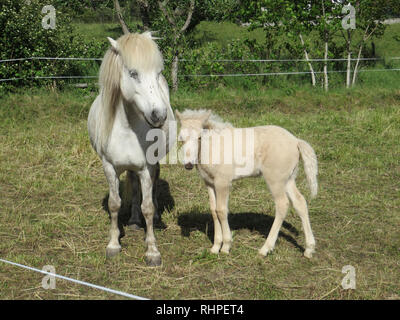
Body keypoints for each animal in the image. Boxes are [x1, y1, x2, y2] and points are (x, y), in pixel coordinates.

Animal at [87, 32, 175, 266]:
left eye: (158, 72)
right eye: (133, 73)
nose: (159, 115)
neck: (127, 128)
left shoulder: (146, 167)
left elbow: (148, 206)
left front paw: (152, 251)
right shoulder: (109, 167)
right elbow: (114, 204)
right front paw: (113, 244)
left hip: (153, 163)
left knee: (153, 185)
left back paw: (154, 219)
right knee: (134, 186)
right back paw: (135, 221)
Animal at [176, 109, 318, 258]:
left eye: (199, 137)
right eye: (181, 139)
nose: (188, 165)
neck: (212, 146)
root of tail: (296, 141)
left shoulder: (223, 182)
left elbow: (221, 210)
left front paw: (226, 246)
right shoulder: (209, 183)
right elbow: (214, 211)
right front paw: (215, 247)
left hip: (275, 180)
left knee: (282, 205)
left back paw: (265, 248)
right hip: (288, 179)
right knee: (300, 202)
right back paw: (309, 249)